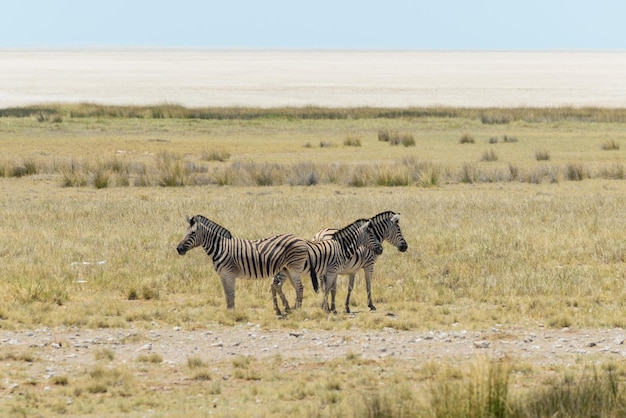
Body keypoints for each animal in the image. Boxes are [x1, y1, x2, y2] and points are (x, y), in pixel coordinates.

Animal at [177, 216, 316, 310]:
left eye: (193, 233)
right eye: (185, 232)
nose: (179, 249)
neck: (221, 248)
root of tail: (301, 239)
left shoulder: (230, 274)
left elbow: (231, 294)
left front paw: (232, 312)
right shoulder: (222, 275)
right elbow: (226, 294)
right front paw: (228, 311)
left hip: (294, 268)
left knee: (299, 287)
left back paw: (297, 310)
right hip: (288, 269)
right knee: (296, 288)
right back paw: (293, 308)